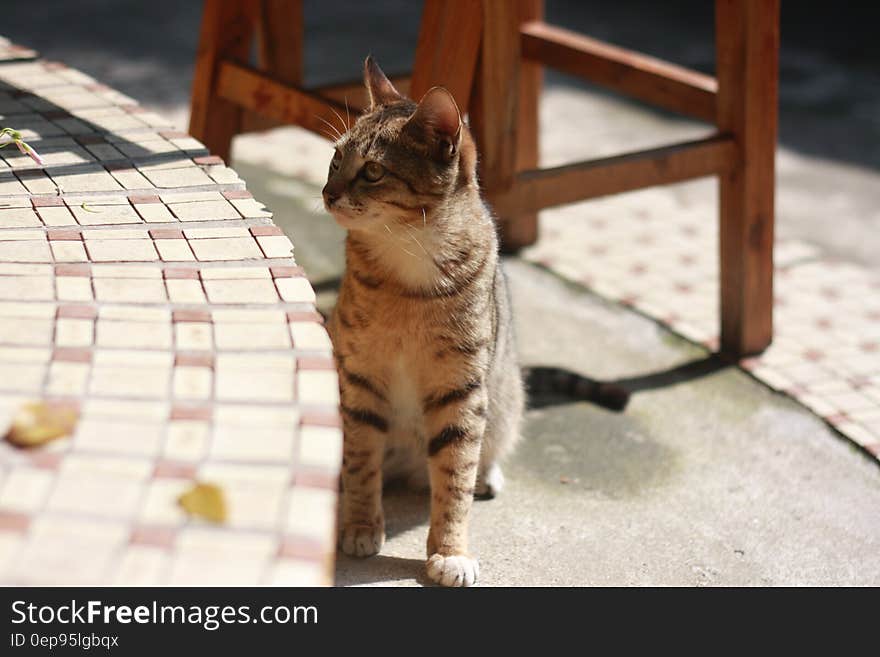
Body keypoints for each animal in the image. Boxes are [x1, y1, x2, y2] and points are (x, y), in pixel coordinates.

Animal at [324, 57, 624, 588]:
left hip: (501, 401)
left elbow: (454, 480)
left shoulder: (460, 389)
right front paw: (360, 525)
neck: (408, 263)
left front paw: (451, 551)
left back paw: (487, 475)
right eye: (336, 160)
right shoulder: (360, 379)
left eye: (374, 171)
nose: (327, 192)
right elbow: (361, 461)